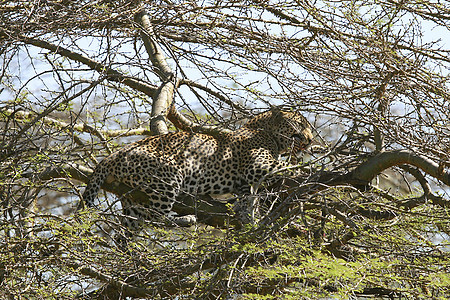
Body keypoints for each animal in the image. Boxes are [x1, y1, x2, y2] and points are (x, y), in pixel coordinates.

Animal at [80, 106, 312, 231]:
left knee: (129, 227)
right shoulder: (257, 165)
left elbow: (248, 197)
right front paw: (307, 169)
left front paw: (249, 212)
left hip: (133, 201)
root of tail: (112, 156)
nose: (310, 140)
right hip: (168, 175)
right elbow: (285, 165)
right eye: (301, 125)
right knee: (157, 218)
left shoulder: (245, 183)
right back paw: (185, 219)